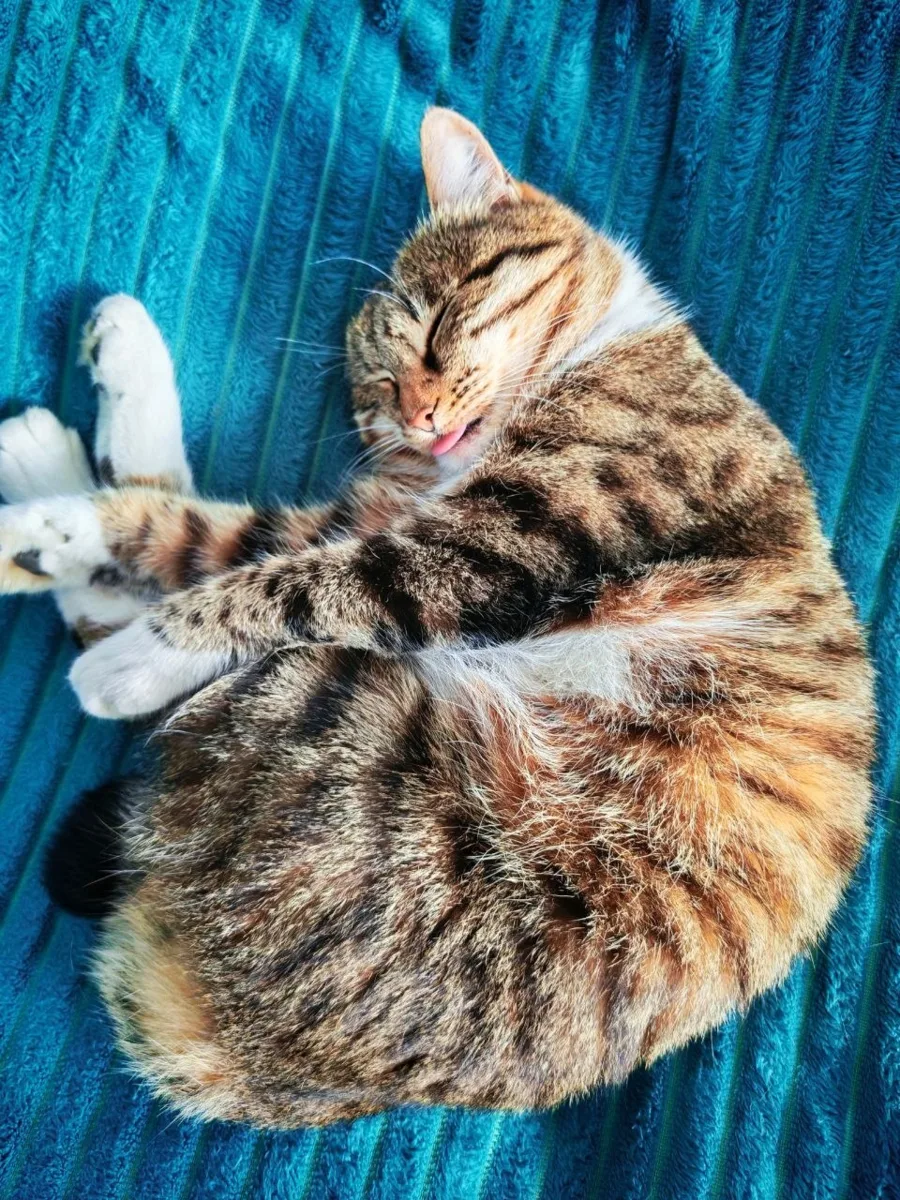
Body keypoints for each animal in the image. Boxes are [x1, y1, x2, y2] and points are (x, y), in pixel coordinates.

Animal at [0, 108, 874, 1128]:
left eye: (439, 327)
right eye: (378, 391)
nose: (417, 415)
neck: (603, 344)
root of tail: (250, 1050)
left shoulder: (498, 543)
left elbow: (267, 578)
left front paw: (114, 617)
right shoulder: (389, 517)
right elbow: (204, 534)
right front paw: (54, 526)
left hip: (340, 729)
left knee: (175, 653)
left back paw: (69, 539)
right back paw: (68, 427)